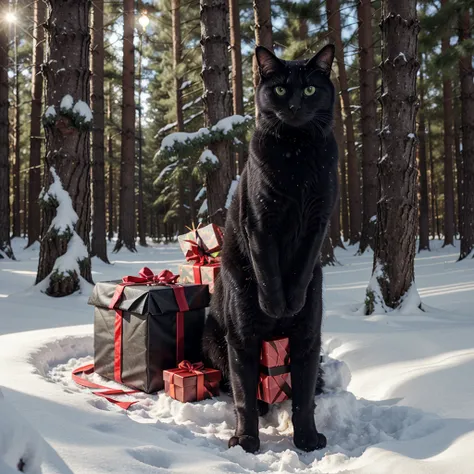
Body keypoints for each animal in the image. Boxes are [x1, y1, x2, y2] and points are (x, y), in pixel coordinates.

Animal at [202, 45, 338, 456]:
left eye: (309, 89)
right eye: (279, 89)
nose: (293, 104)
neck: (297, 156)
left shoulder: (317, 222)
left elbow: (303, 398)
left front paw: (308, 441)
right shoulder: (261, 220)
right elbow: (244, 395)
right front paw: (245, 442)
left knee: (304, 385)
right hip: (220, 337)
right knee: (240, 387)